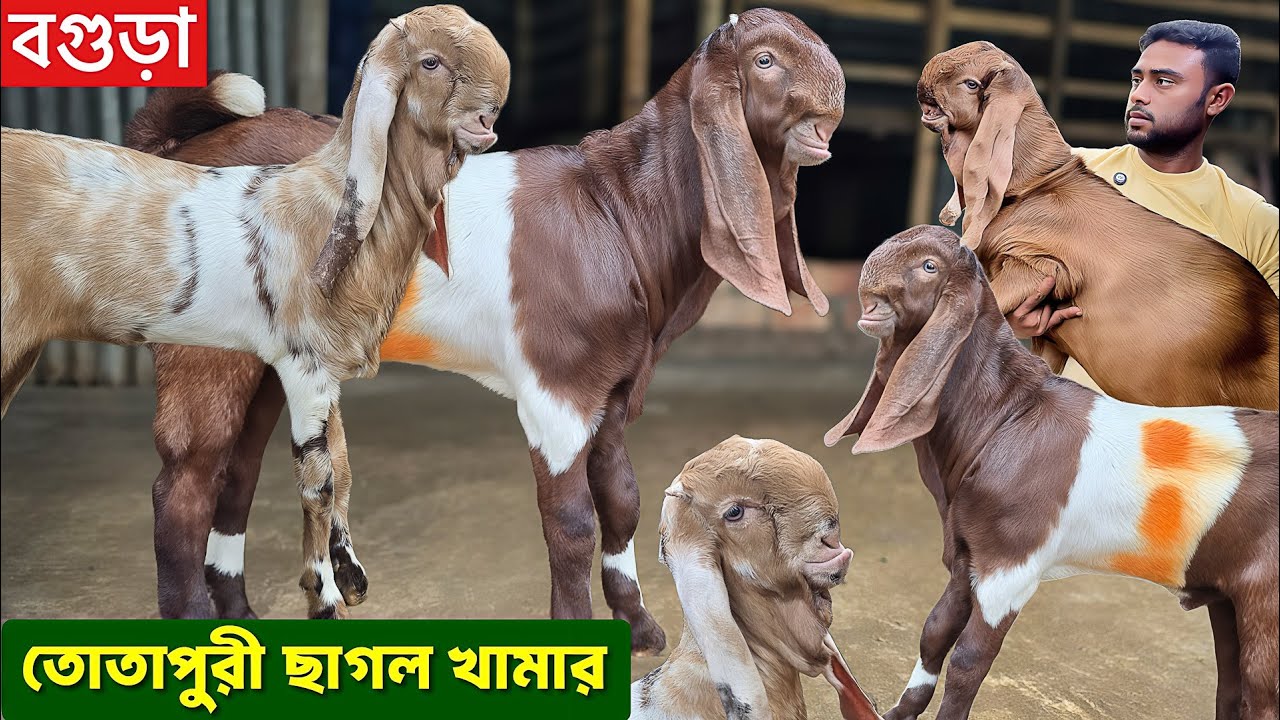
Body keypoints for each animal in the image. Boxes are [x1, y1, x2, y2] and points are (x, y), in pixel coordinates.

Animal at [0, 5, 511, 620]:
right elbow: (319, 477)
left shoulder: (307, 365)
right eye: (430, 63)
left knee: (236, 473)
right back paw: (197, 616)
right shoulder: (304, 362)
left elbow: (334, 468)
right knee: (185, 482)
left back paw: (239, 612)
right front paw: (327, 597)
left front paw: (337, 580)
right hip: (196, 358)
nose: (488, 118)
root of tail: (172, 145)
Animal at [116, 8, 844, 653]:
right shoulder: (556, 390)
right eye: (766, 61)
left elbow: (623, 501)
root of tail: (182, 151)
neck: (617, 210)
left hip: (267, 359)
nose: (833, 103)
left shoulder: (610, 389)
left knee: (234, 473)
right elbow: (572, 522)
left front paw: (640, 627)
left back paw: (239, 618)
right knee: (182, 486)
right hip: (204, 348)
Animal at [826, 224, 1279, 720]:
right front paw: (898, 712)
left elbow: (968, 660)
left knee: (1261, 692)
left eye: (929, 266)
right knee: (1233, 686)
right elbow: (935, 631)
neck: (1007, 417)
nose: (867, 280)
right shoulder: (967, 553)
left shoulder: (1011, 565)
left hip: (1266, 599)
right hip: (1228, 595)